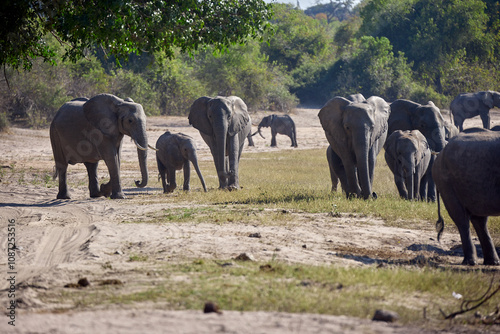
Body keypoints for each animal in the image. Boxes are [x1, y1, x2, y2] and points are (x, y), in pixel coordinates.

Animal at [434, 130, 500, 266]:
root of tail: (439, 154)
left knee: (480, 219)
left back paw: (493, 262)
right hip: (446, 182)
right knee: (462, 219)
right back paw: (471, 262)